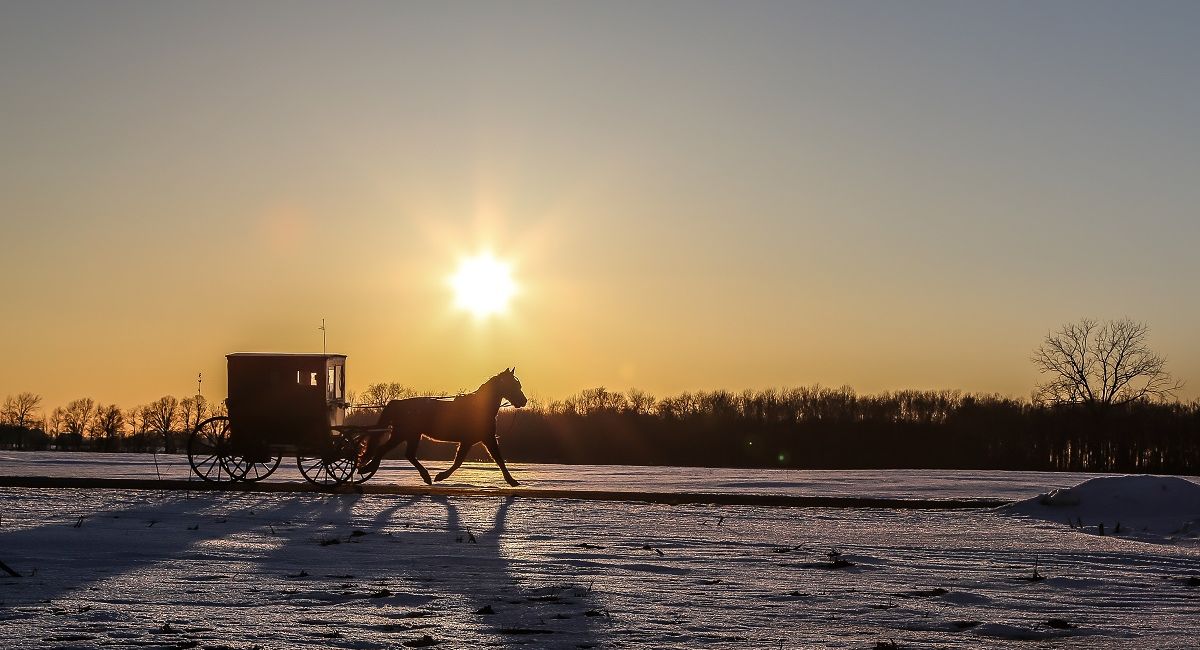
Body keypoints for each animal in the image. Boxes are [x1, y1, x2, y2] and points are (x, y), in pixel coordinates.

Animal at [360, 369, 530, 486]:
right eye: (513, 385)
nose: (524, 401)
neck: (479, 408)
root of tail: (398, 403)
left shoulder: (479, 439)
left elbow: (493, 459)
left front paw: (511, 480)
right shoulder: (478, 439)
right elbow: (465, 461)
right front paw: (441, 476)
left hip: (411, 434)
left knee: (407, 454)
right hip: (403, 433)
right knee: (383, 449)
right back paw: (368, 469)